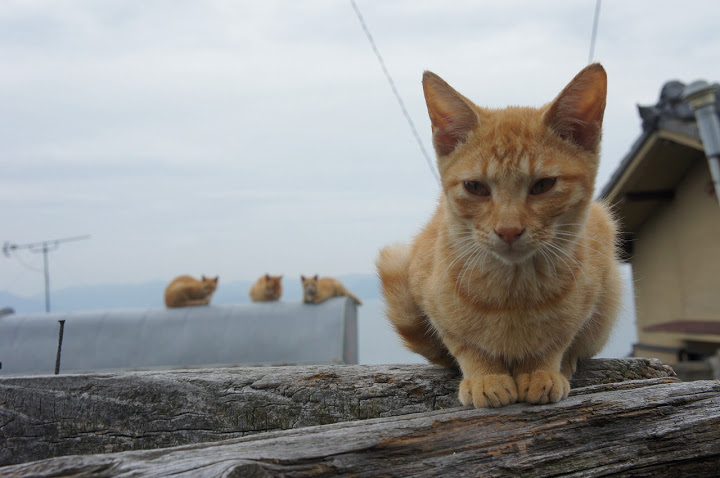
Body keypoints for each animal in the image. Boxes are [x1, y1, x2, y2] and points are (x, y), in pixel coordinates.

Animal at [376, 62, 620, 408]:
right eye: (475, 187)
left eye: (543, 185)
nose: (508, 230)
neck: (513, 292)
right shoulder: (426, 289)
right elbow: (464, 343)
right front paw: (485, 376)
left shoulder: (594, 282)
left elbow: (558, 339)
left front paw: (541, 369)